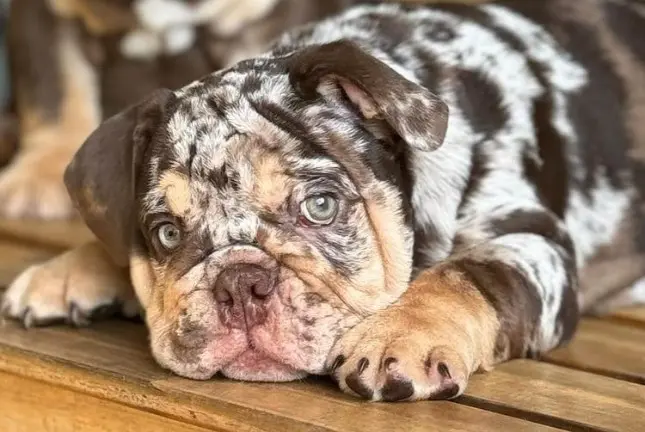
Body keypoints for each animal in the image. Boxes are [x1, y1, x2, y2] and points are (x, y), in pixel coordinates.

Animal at [1, 0, 644, 402]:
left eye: (321, 206)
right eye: (165, 233)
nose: (240, 282)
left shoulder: (530, 239)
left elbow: (466, 275)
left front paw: (398, 336)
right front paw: (66, 271)